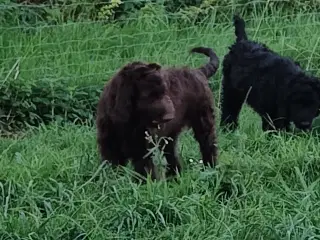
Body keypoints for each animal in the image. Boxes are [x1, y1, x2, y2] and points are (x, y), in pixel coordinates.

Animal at [95, 46, 220, 182]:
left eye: (165, 91)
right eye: (149, 95)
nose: (170, 116)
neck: (129, 120)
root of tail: (198, 71)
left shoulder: (142, 150)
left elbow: (144, 171)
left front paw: (147, 184)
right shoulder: (109, 147)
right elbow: (112, 168)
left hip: (204, 120)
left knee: (208, 145)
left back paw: (210, 169)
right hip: (170, 135)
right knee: (172, 154)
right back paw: (174, 177)